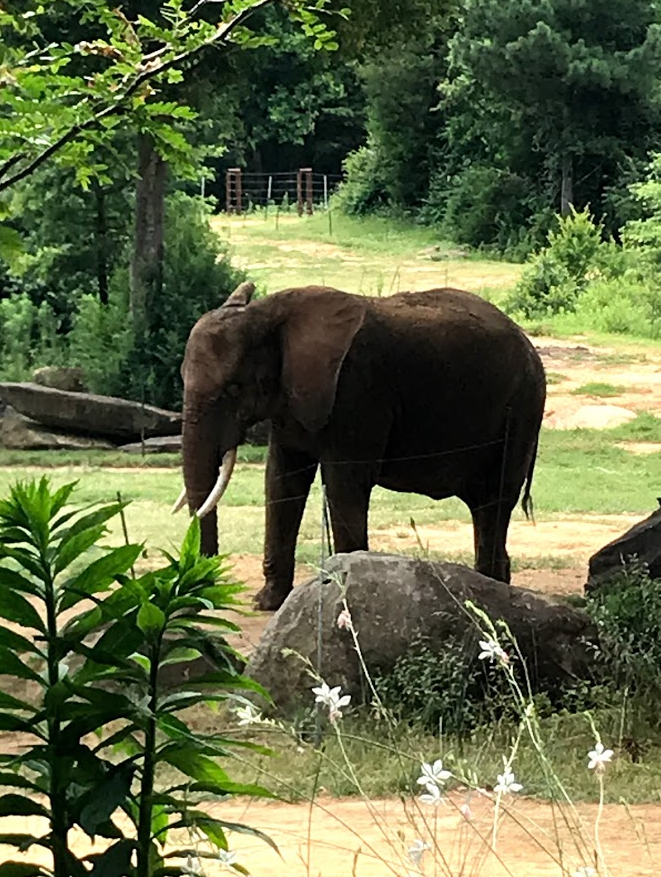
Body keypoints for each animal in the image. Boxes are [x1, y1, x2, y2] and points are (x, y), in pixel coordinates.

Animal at [176, 281, 546, 611]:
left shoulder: (357, 392)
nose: (205, 590)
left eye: (234, 389)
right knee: (486, 507)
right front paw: (268, 603)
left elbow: (343, 485)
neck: (269, 314)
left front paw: (342, 593)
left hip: (523, 408)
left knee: (495, 502)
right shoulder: (292, 402)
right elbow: (281, 481)